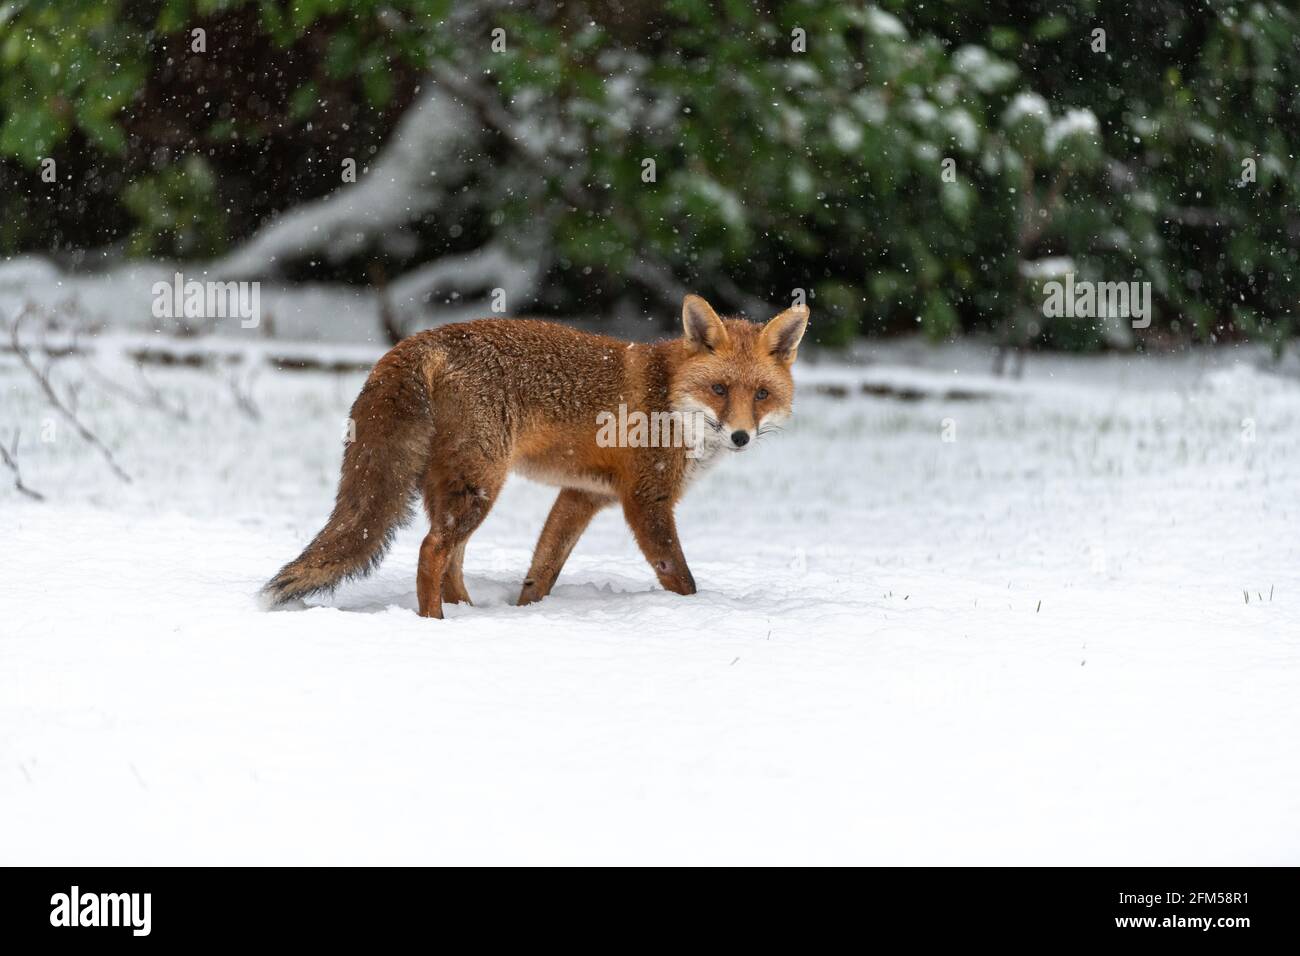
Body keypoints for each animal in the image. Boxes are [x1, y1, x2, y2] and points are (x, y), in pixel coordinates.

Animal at [261, 293, 809, 618]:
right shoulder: (646, 500)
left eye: (761, 395)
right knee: (431, 551)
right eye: (719, 389)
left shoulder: (581, 495)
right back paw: (435, 622)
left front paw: (528, 614)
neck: (669, 399)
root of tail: (416, 340)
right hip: (481, 483)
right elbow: (681, 577)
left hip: (458, 485)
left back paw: (470, 613)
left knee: (450, 558)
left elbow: (542, 571)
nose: (740, 436)